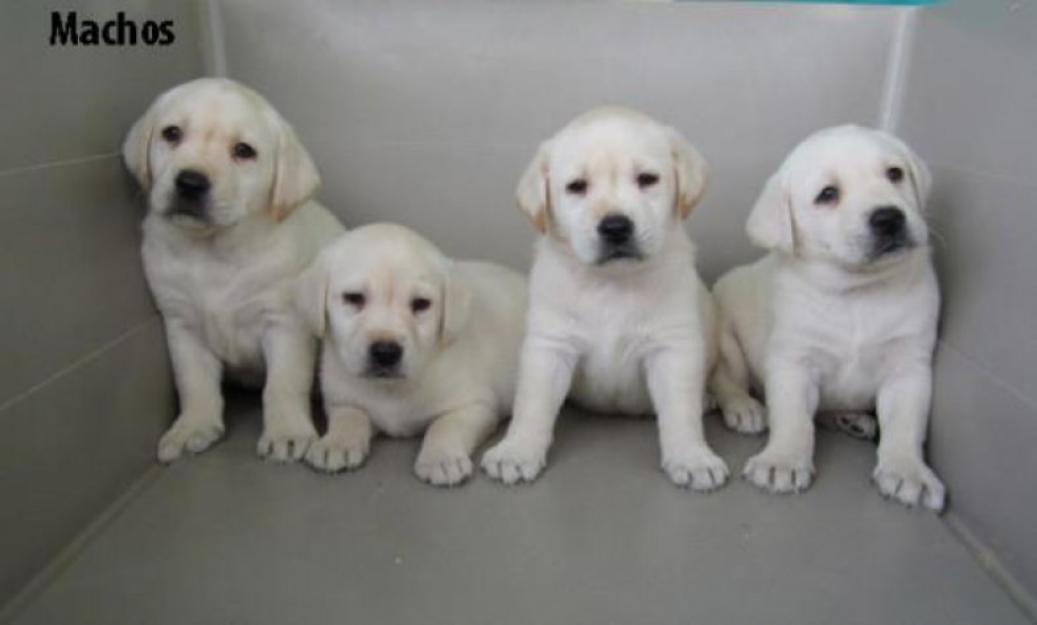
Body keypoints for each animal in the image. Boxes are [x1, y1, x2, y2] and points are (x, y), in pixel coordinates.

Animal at [123, 78, 344, 462]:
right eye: (172, 133)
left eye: (244, 151)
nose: (190, 182)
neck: (212, 252)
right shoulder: (181, 325)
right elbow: (194, 383)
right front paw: (193, 426)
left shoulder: (285, 323)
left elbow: (283, 384)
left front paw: (287, 431)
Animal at [298, 222, 526, 487]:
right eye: (353, 298)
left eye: (421, 304)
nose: (385, 352)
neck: (391, 389)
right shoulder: (340, 399)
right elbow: (350, 415)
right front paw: (336, 442)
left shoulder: (477, 406)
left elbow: (445, 425)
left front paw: (441, 458)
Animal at [479, 106, 730, 489]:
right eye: (577, 187)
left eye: (647, 179)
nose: (615, 227)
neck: (612, 283)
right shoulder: (550, 346)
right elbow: (533, 404)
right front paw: (517, 450)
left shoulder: (673, 347)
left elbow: (681, 411)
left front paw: (692, 457)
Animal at [713, 124, 949, 512]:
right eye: (827, 195)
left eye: (894, 174)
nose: (889, 217)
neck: (858, 291)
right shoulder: (793, 361)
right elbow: (794, 418)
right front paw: (783, 460)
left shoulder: (909, 368)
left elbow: (905, 423)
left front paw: (907, 470)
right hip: (727, 342)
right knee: (726, 379)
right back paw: (745, 408)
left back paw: (849, 418)